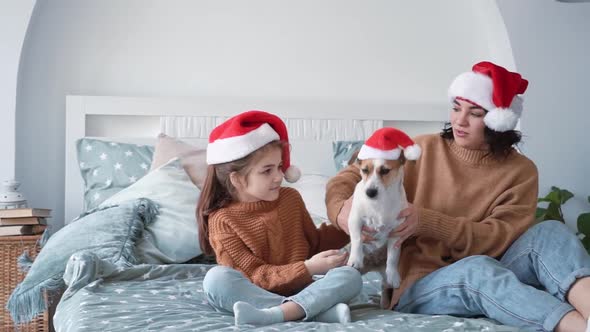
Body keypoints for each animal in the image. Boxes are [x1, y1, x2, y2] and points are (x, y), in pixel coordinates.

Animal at [346, 126, 420, 306]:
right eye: (364, 170)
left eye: (385, 171)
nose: (370, 192)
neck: (379, 203)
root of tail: (372, 266)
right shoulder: (355, 220)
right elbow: (357, 239)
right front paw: (355, 259)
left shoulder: (397, 233)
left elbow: (392, 257)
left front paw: (394, 275)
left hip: (384, 282)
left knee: (385, 290)